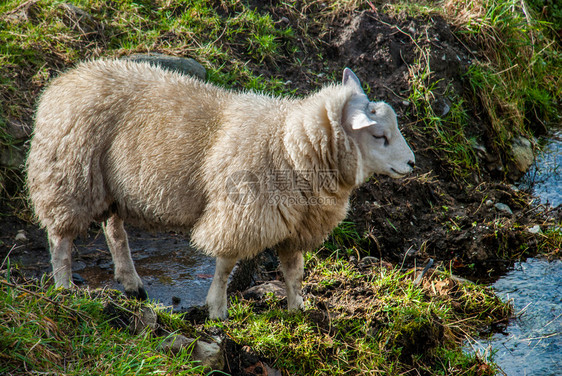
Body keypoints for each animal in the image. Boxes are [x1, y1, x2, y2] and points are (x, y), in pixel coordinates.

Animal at [26, 60, 414, 318]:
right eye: (379, 135)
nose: (412, 163)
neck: (287, 143)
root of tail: (64, 81)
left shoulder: (295, 224)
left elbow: (293, 271)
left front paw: (296, 308)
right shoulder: (240, 213)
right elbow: (226, 265)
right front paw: (217, 309)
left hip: (111, 185)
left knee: (114, 229)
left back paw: (131, 282)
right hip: (69, 176)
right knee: (61, 238)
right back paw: (64, 287)